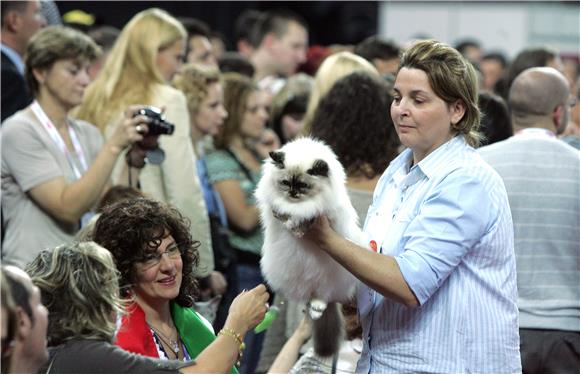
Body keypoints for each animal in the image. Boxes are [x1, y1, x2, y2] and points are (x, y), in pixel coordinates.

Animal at [256, 138, 364, 306]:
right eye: (286, 183)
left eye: (303, 185)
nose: (292, 193)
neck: (298, 205)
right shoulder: (277, 208)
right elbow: (283, 214)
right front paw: (290, 224)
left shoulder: (321, 213)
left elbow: (304, 219)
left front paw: (297, 228)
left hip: (328, 279)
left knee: (323, 294)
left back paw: (317, 305)